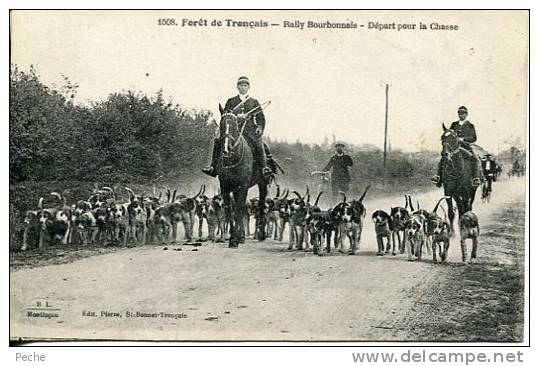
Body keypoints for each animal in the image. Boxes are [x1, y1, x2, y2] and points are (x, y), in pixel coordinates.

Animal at [216, 106, 270, 249]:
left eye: (235, 125)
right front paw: (234, 237)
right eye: (221, 124)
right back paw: (242, 236)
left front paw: (234, 239)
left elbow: (239, 211)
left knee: (261, 203)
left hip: (263, 183)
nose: (226, 148)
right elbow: (230, 212)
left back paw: (261, 234)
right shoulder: (225, 187)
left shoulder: (243, 186)